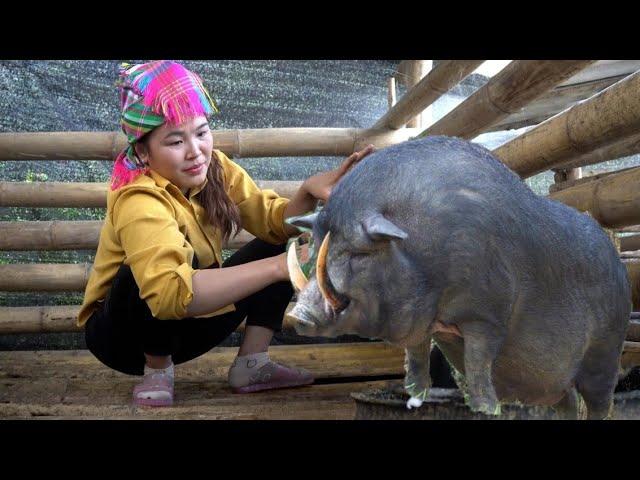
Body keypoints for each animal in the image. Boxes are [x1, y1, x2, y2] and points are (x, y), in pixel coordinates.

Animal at [288, 136, 632, 420]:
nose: (297, 315)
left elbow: (478, 368)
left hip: (606, 349)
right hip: (560, 382)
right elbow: (417, 359)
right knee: (568, 401)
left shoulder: (486, 316)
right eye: (316, 244)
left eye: (359, 253)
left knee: (600, 401)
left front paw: (486, 409)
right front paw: (415, 397)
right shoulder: (421, 322)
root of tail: (620, 265)